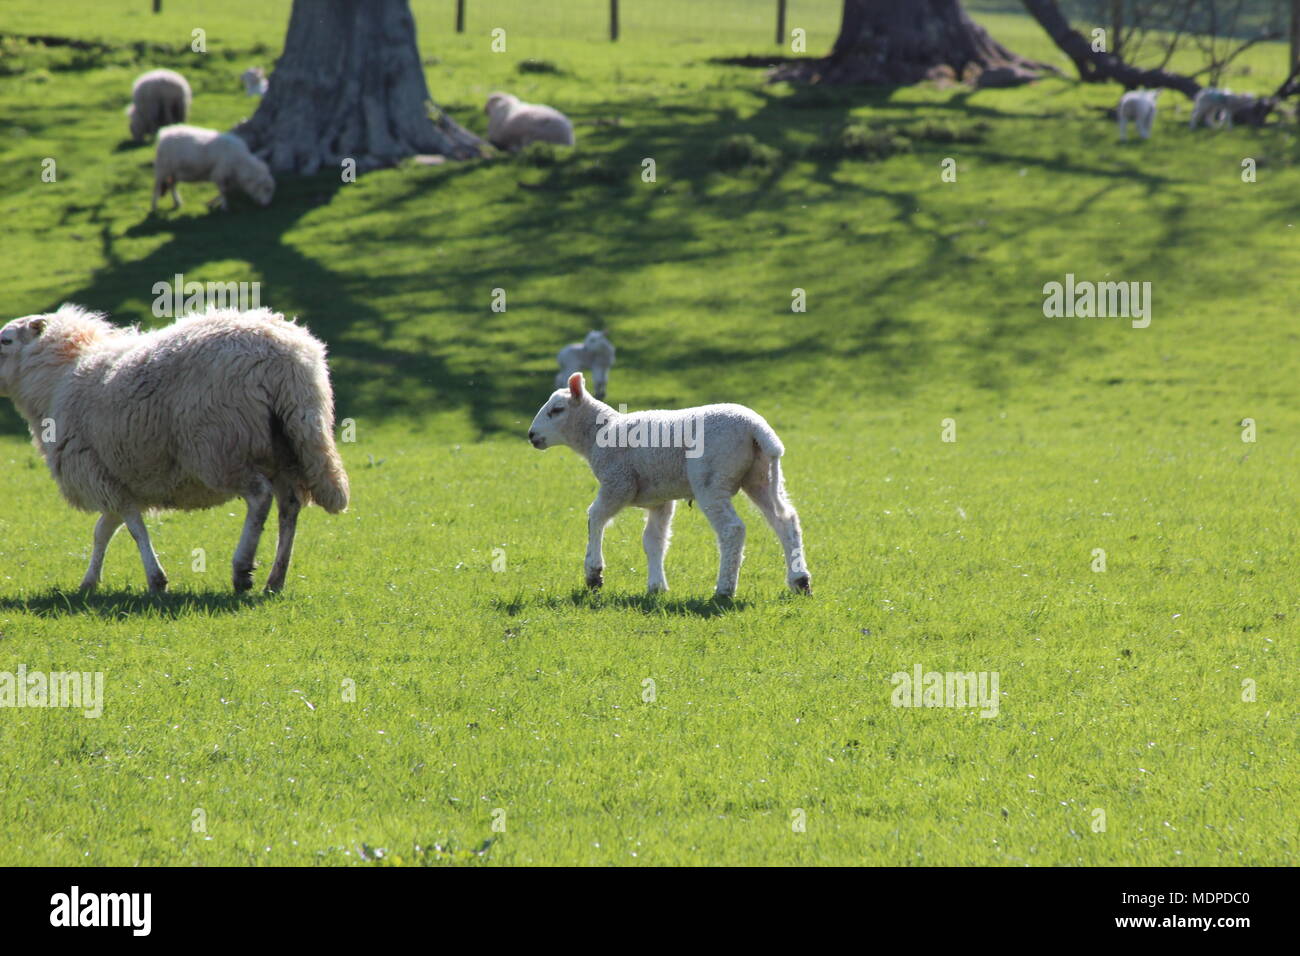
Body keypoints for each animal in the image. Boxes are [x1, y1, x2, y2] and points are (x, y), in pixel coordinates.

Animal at [0, 304, 350, 594]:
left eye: (5, 340)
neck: (57, 378)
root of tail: (287, 358)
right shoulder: (115, 476)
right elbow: (104, 530)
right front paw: (89, 583)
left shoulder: (98, 470)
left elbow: (133, 528)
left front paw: (156, 580)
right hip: (287, 446)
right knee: (289, 506)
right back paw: (275, 580)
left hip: (220, 447)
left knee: (259, 496)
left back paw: (242, 570)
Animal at [527, 372, 811, 599]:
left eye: (557, 410)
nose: (531, 435)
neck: (599, 433)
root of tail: (757, 428)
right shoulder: (659, 500)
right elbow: (653, 540)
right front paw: (656, 587)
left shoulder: (617, 482)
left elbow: (594, 517)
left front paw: (594, 574)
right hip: (761, 476)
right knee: (785, 520)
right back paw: (800, 580)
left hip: (711, 479)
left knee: (732, 530)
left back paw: (724, 589)